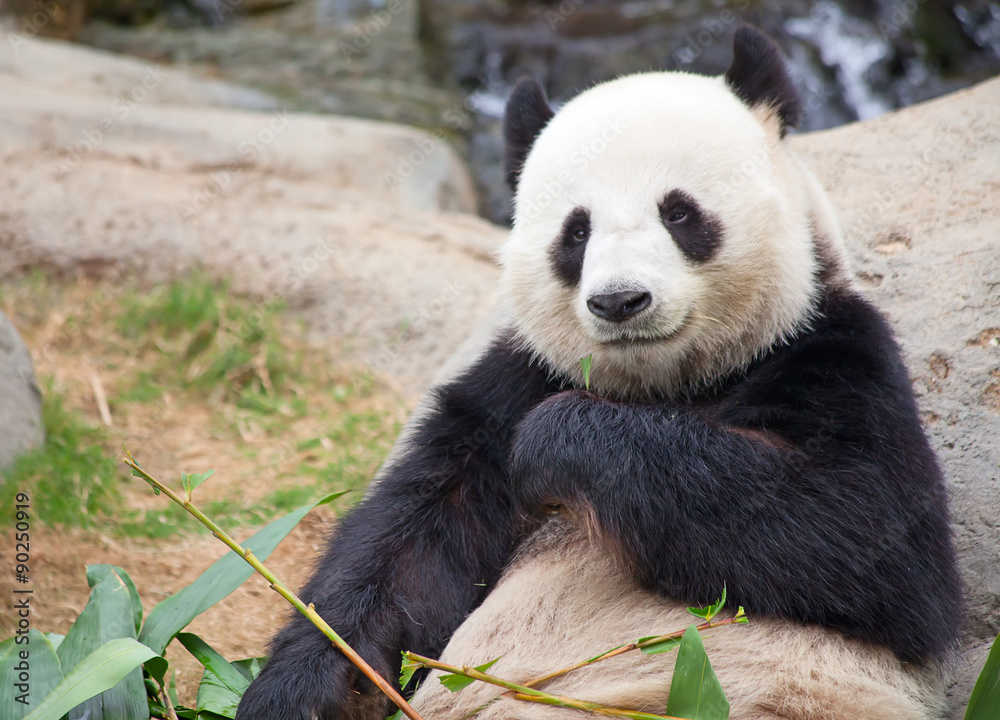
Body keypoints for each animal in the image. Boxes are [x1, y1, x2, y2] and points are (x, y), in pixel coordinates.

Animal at [237, 26, 961, 720]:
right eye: (576, 231)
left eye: (679, 212)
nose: (619, 301)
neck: (670, 385)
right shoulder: (517, 379)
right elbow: (408, 542)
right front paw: (304, 689)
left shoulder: (826, 352)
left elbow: (866, 531)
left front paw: (555, 444)